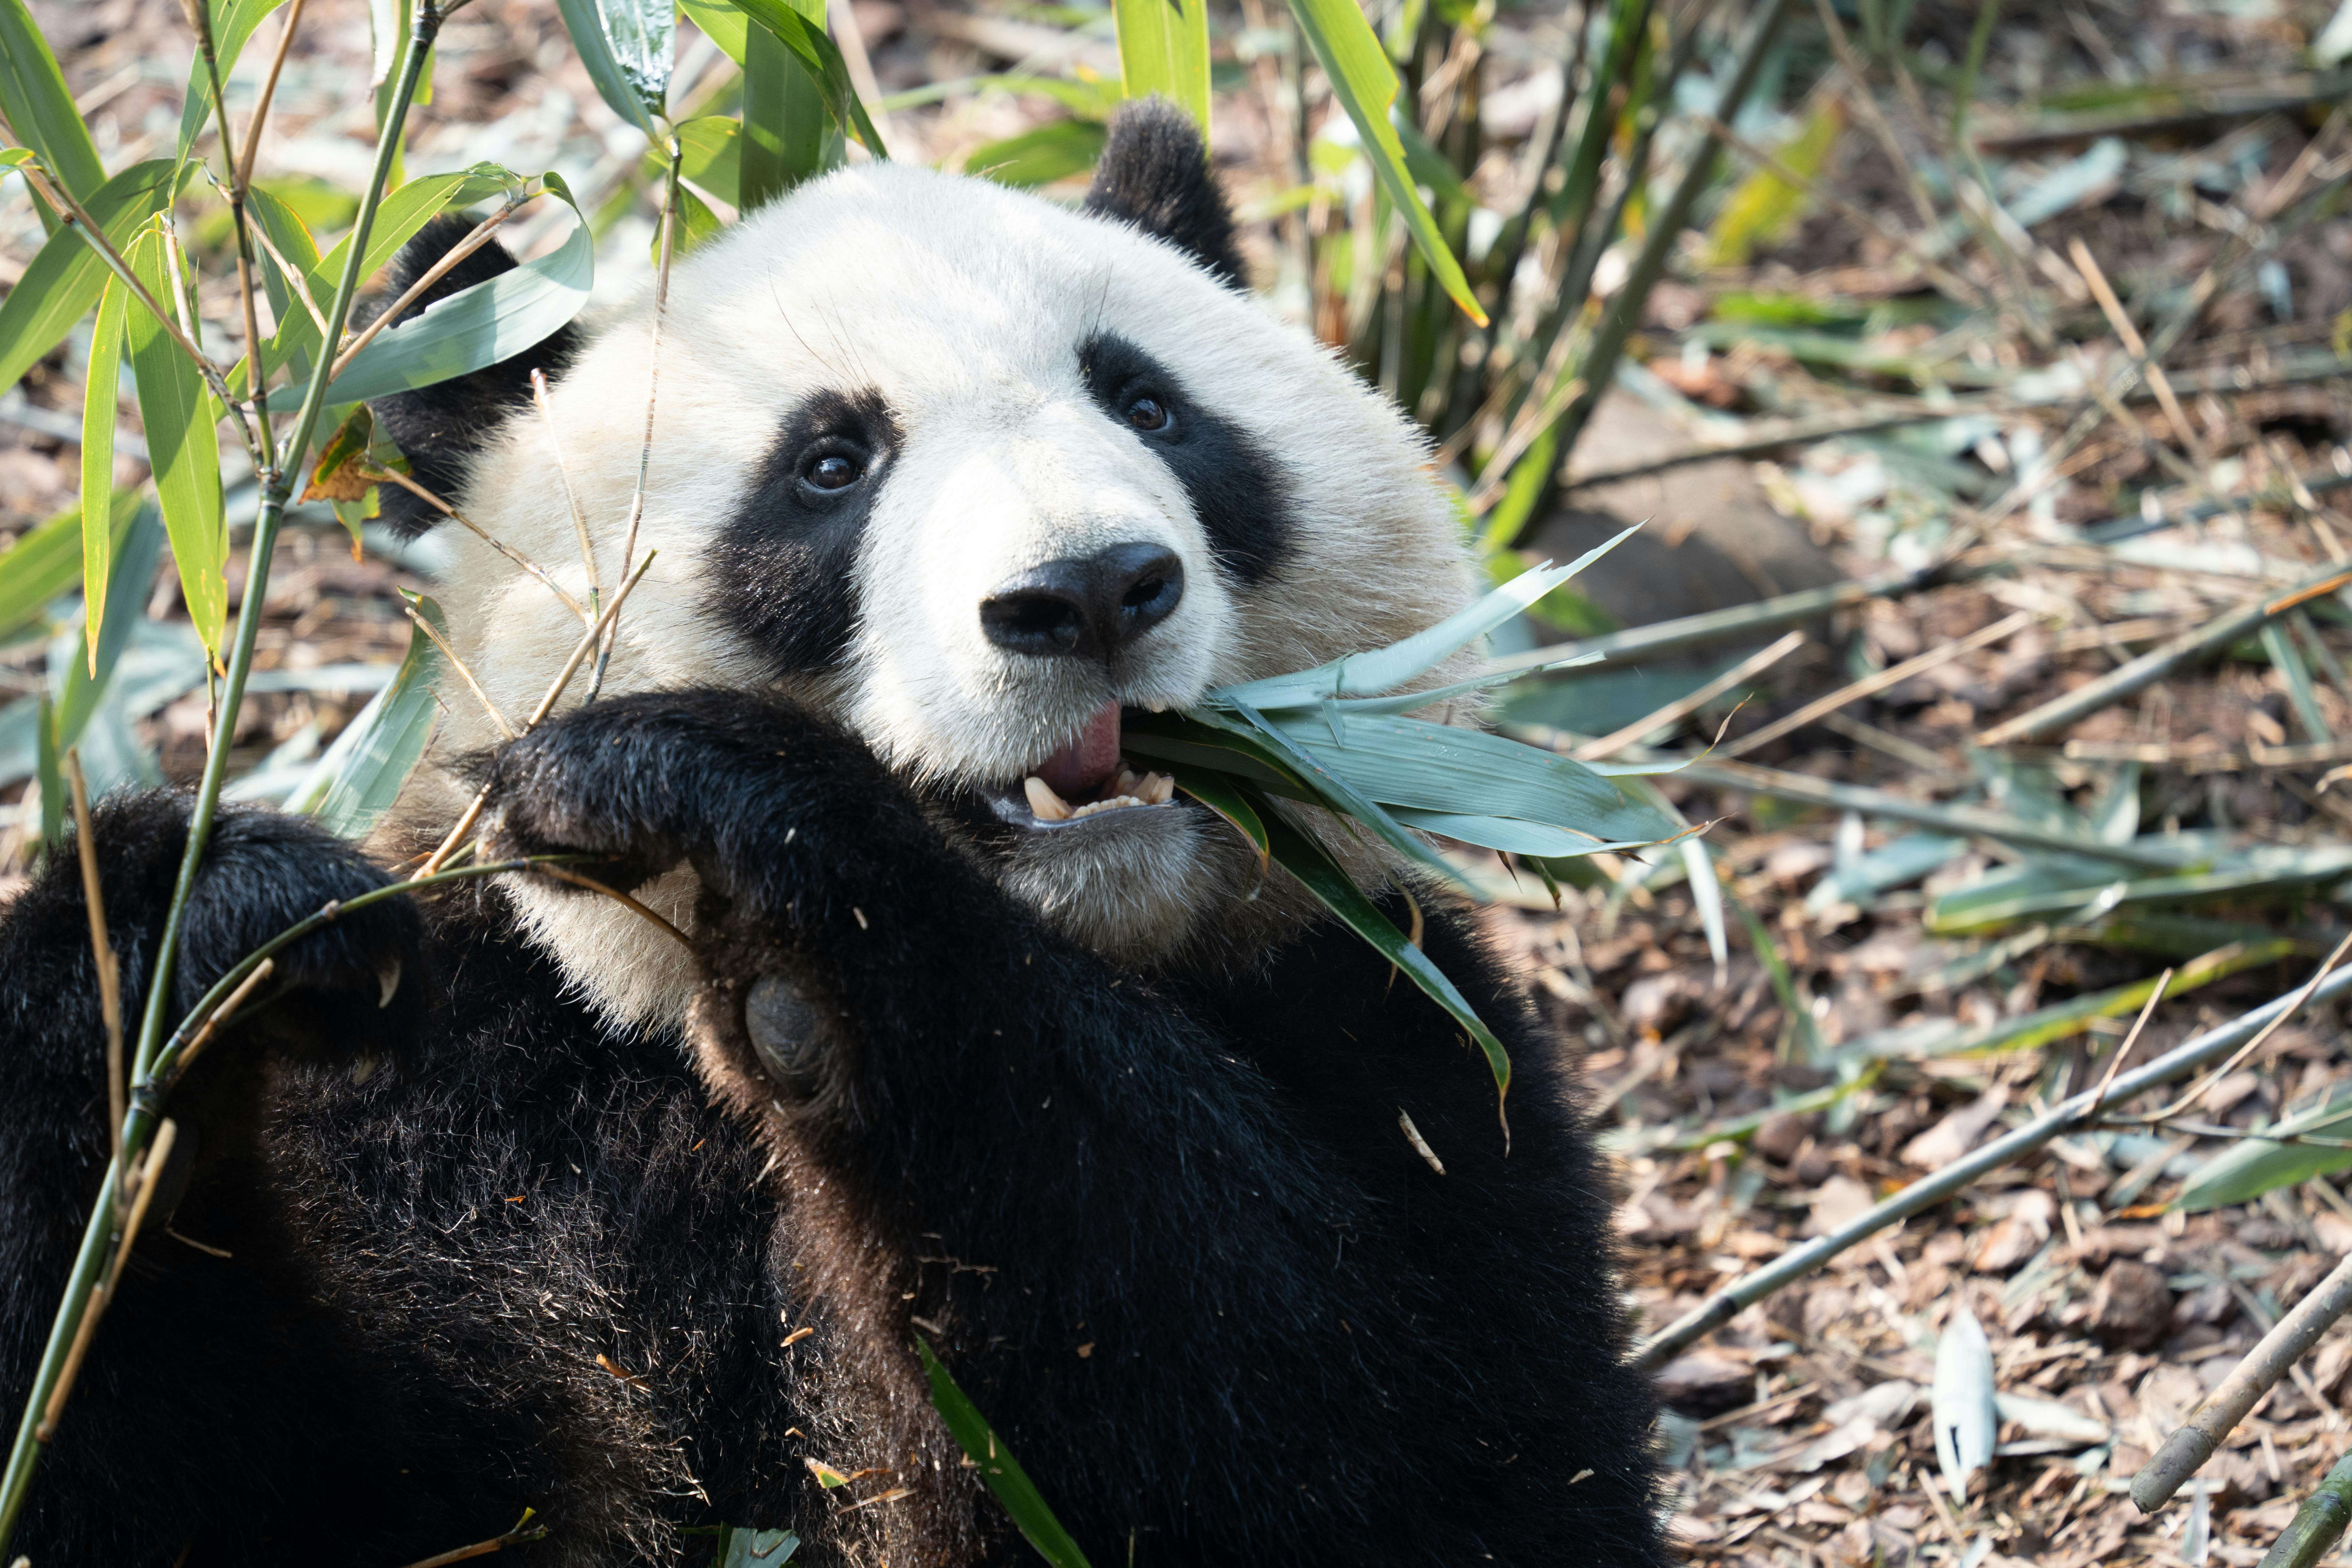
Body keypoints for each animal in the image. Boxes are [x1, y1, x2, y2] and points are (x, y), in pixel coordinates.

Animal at [1, 102, 1667, 1566]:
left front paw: (756, 857)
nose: (1088, 591)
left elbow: (1391, 1451)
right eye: (828, 465)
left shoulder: (1405, 1045)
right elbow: (252, 1487)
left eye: (1150, 405)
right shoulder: (470, 1094)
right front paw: (193, 948)